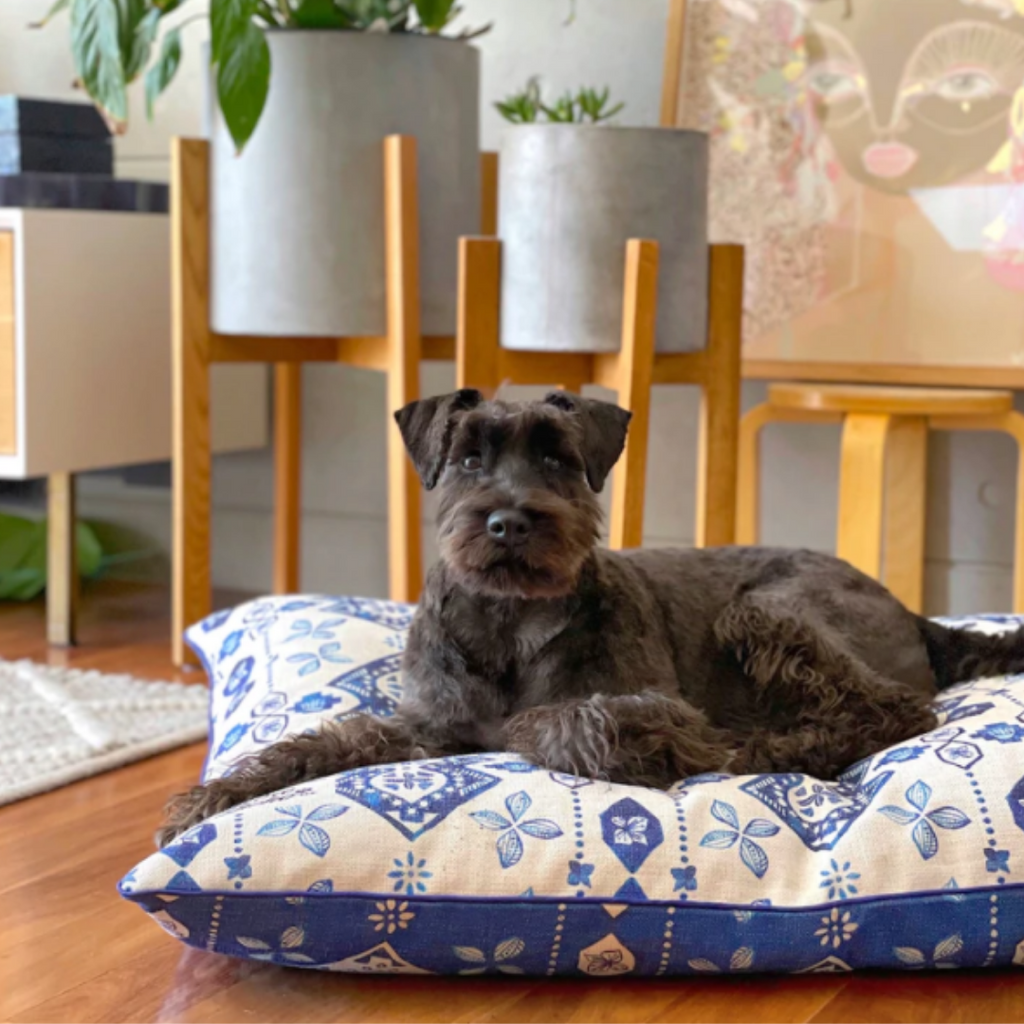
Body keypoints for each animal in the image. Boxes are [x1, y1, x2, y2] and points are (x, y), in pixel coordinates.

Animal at [155, 387, 1024, 843]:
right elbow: (323, 742)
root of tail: (916, 616)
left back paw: (768, 745)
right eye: (467, 455)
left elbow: (557, 721)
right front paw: (212, 798)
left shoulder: (648, 704)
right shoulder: (421, 725)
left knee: (891, 710)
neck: (509, 621)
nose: (509, 521)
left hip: (765, 612)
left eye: (558, 456)